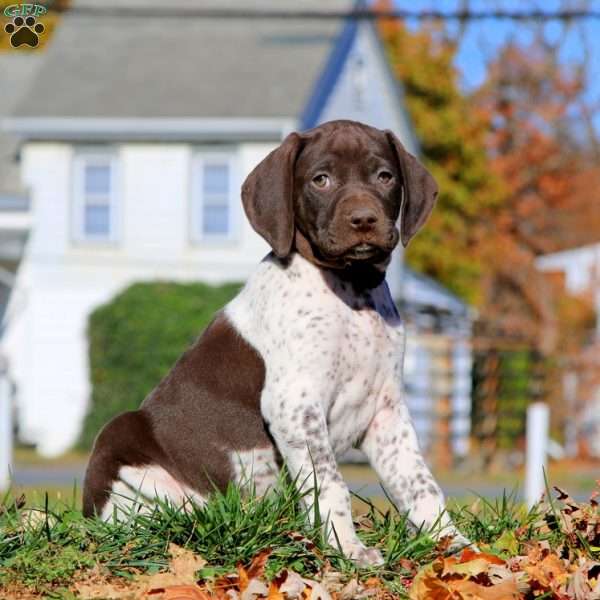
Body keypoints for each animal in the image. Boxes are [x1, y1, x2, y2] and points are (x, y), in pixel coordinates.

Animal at [82, 119, 472, 564]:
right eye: (321, 179)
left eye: (384, 176)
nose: (364, 220)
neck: (351, 291)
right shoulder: (294, 405)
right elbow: (331, 483)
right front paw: (348, 547)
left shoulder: (385, 410)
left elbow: (420, 483)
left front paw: (453, 544)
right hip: (120, 440)